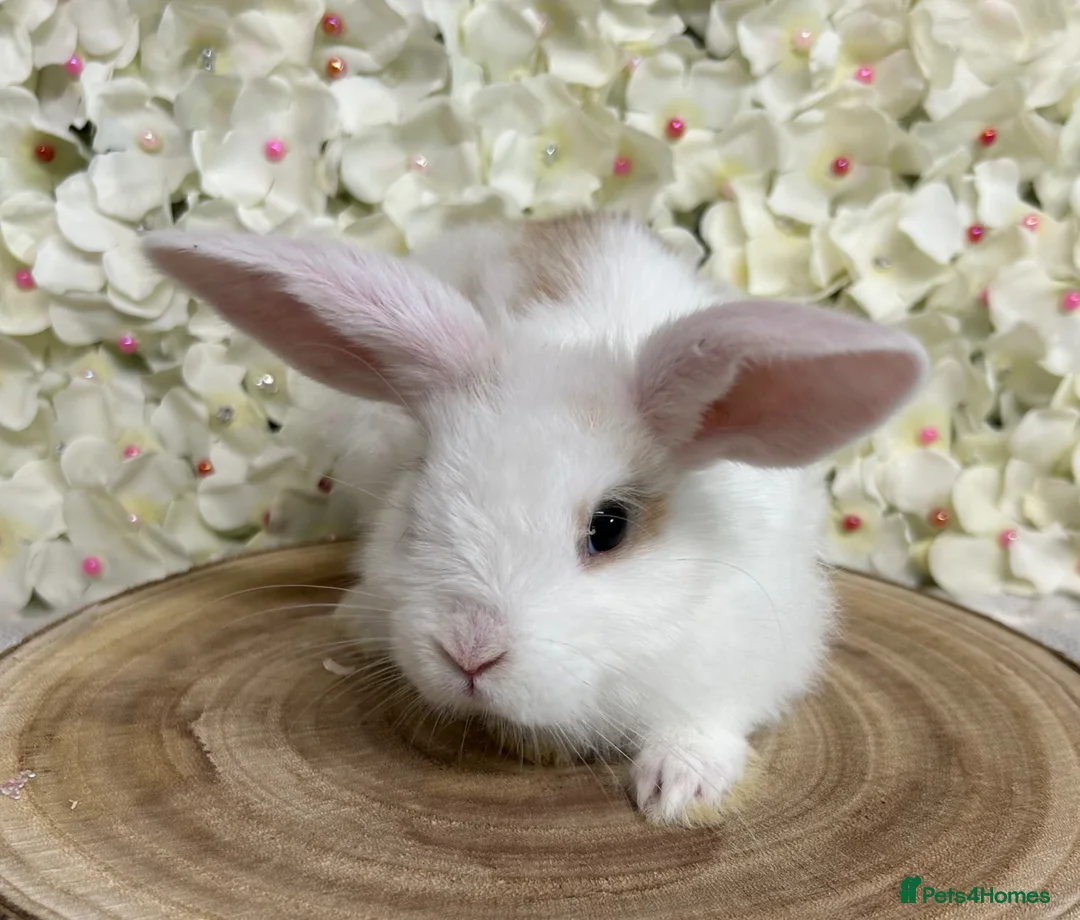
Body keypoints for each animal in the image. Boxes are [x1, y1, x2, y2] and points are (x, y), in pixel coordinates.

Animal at [143, 211, 929, 826]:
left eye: (609, 527)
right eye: (420, 494)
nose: (469, 653)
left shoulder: (750, 645)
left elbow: (707, 721)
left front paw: (676, 789)